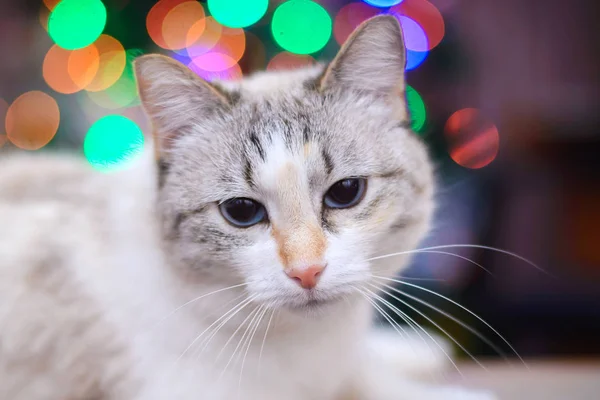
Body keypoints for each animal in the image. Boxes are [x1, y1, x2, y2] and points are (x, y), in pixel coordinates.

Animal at [0, 16, 494, 400]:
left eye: (346, 192)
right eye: (241, 211)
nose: (307, 272)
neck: (310, 348)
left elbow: (369, 377)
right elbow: (368, 386)